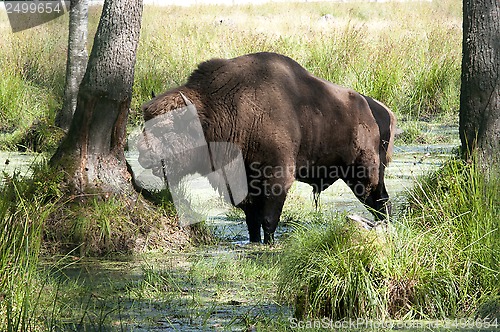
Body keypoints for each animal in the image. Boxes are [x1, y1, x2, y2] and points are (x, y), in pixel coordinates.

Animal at [137, 52, 394, 244]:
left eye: (170, 127)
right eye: (146, 122)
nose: (143, 154)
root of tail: (381, 110)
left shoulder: (277, 178)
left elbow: (268, 219)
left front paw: (269, 243)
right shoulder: (240, 184)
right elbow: (252, 219)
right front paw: (254, 242)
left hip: (364, 174)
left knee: (380, 201)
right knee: (381, 203)